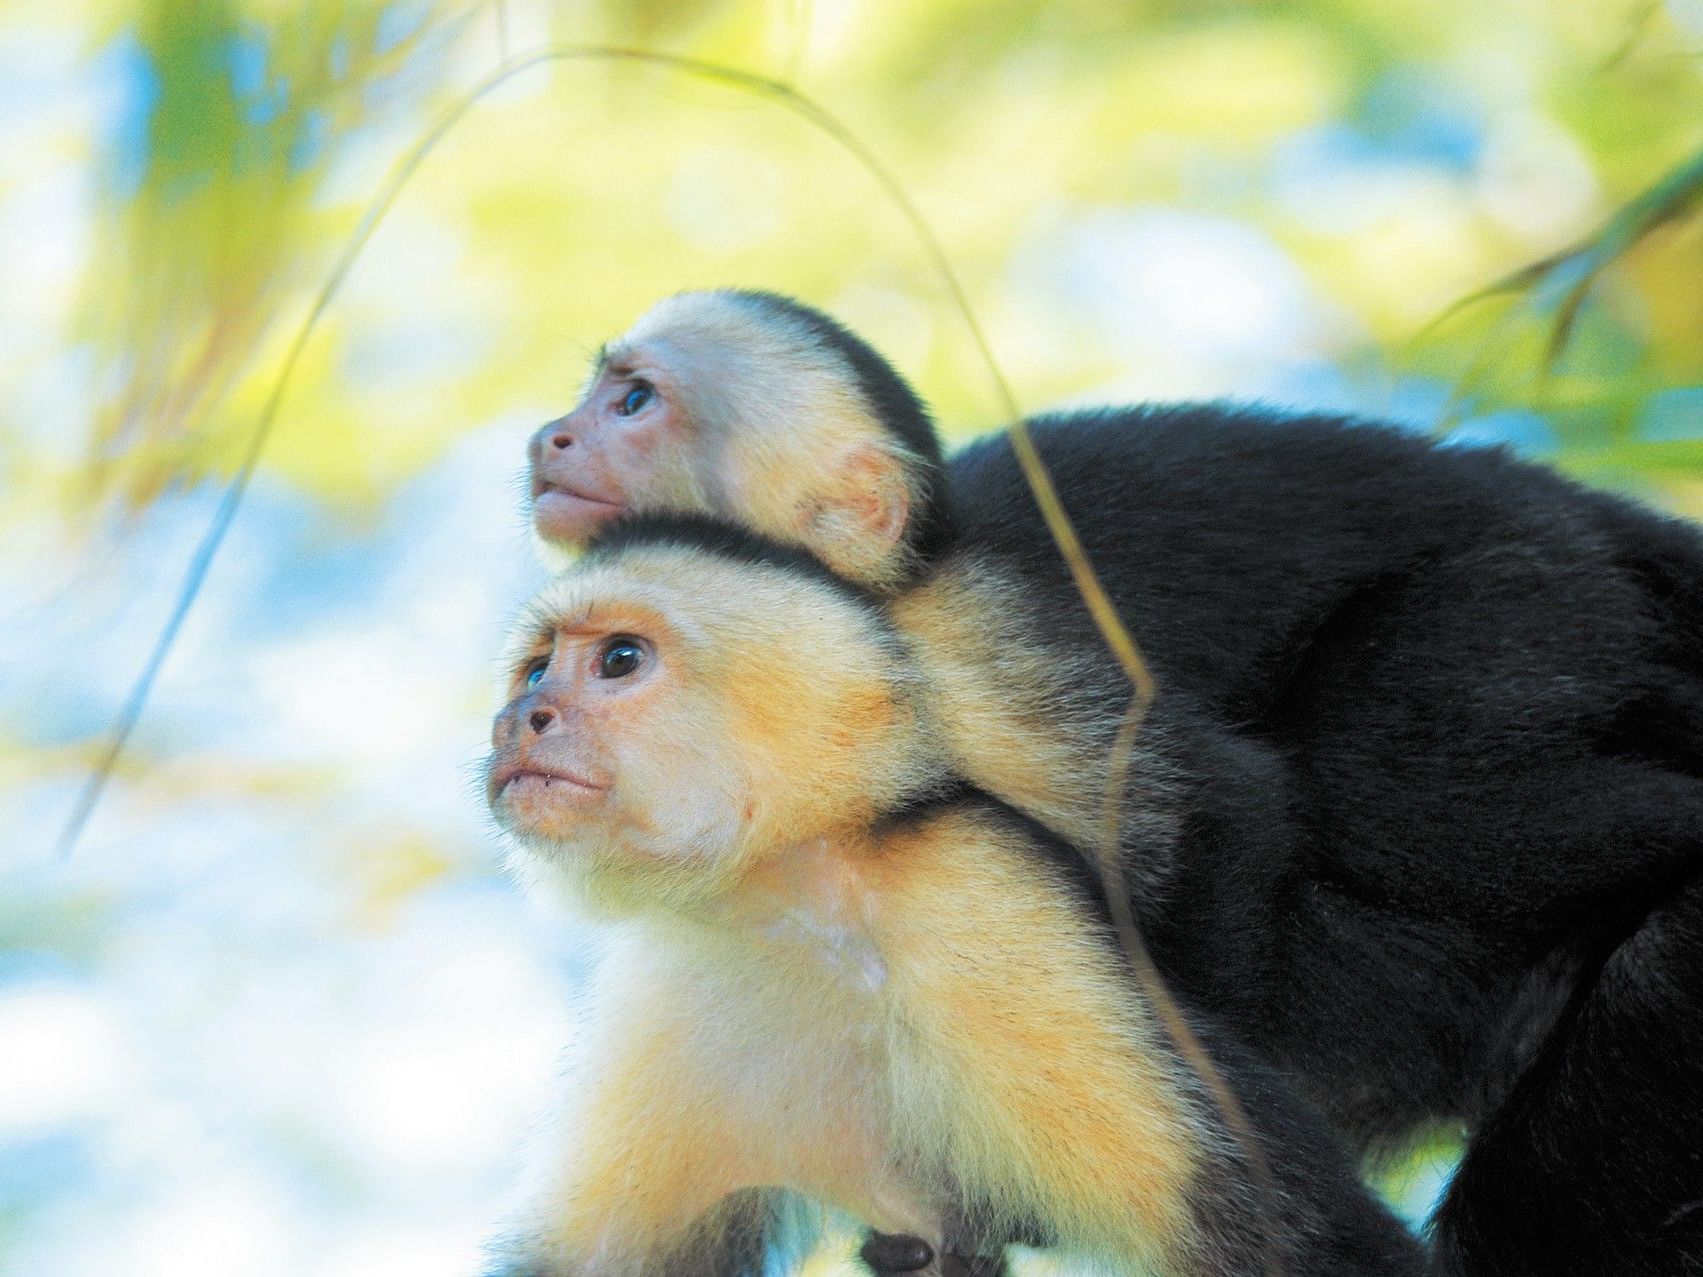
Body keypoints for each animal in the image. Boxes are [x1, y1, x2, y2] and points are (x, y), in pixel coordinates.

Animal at [482, 515, 1427, 1277]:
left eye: (619, 660)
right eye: (533, 671)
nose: (518, 719)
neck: (801, 906)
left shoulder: (978, 893)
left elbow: (1302, 1242)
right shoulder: (672, 972)